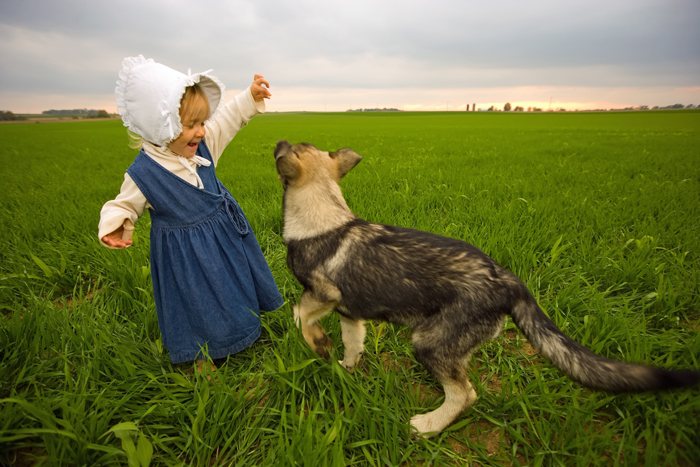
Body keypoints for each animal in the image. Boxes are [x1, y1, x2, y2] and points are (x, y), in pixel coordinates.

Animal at [274, 140, 700, 438]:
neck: (324, 213)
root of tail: (510, 281)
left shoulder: (324, 294)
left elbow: (298, 314)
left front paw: (317, 344)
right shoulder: (350, 312)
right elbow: (353, 343)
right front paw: (343, 365)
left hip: (430, 342)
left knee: (465, 394)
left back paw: (429, 426)